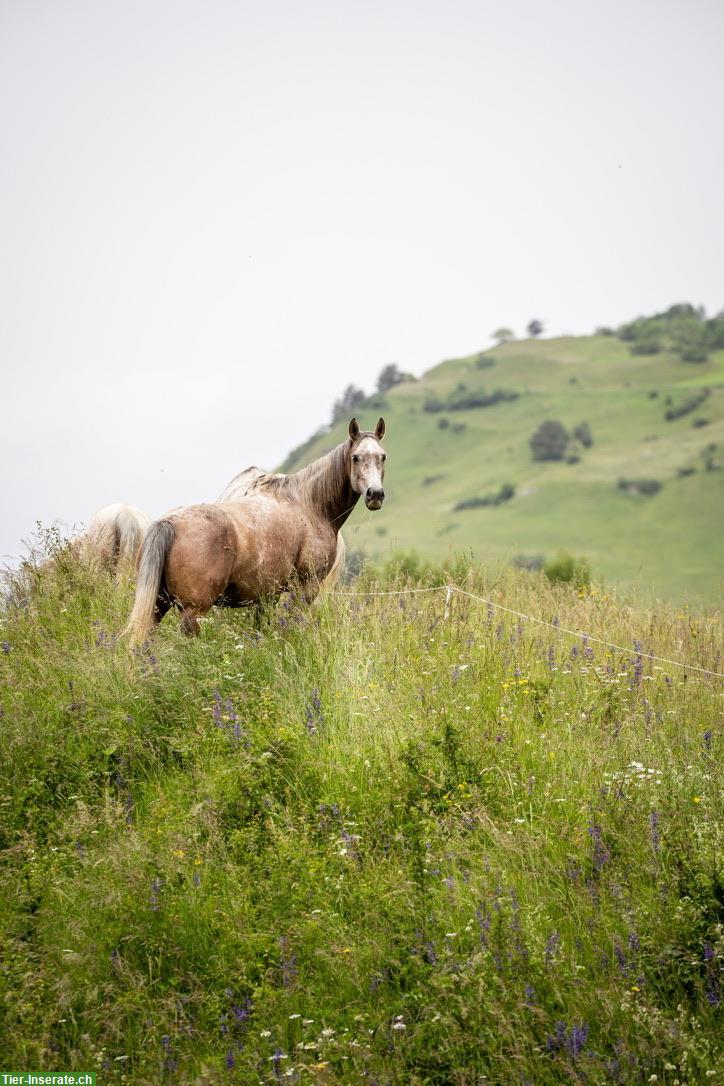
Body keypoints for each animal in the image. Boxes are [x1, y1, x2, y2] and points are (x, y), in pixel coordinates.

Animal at [125, 419, 384, 642]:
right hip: (192, 612)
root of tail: (168, 523)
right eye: (356, 457)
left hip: (158, 606)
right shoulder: (305, 588)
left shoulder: (267, 595)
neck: (310, 505)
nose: (375, 494)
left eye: (382, 457)